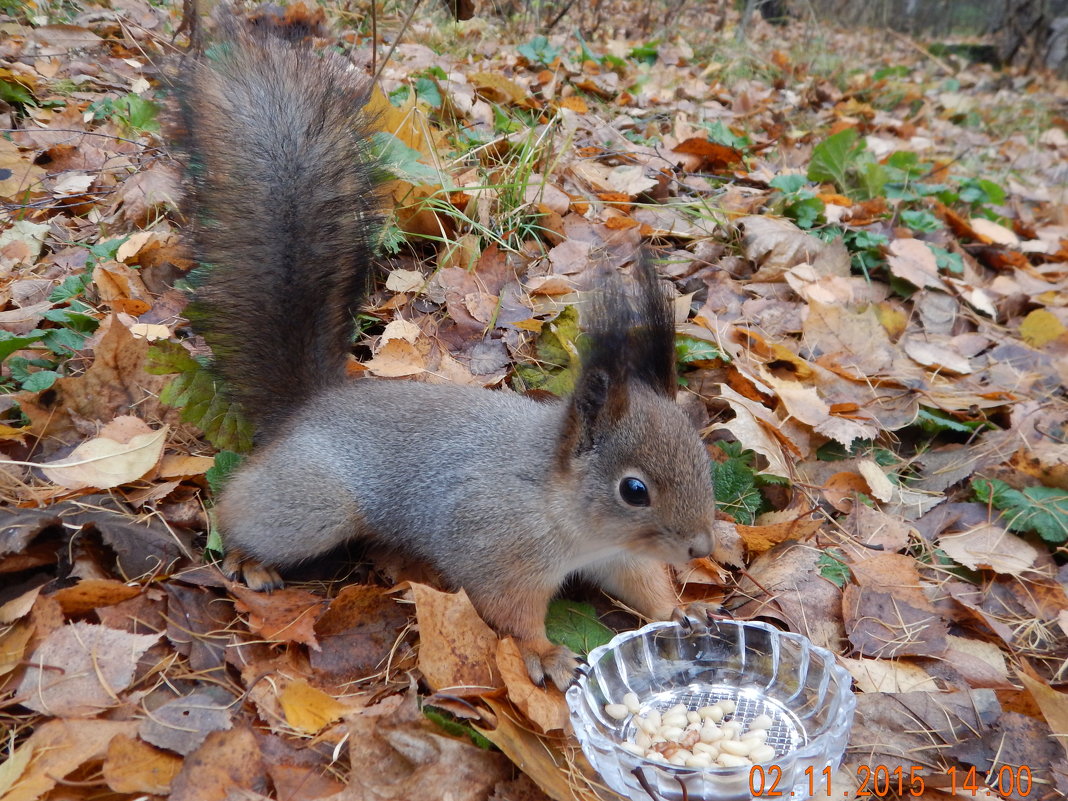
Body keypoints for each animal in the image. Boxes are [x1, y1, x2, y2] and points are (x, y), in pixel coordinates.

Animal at [177, 15, 717, 692]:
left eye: (702, 456)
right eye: (634, 490)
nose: (701, 549)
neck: (556, 498)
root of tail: (310, 406)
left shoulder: (619, 556)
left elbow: (643, 584)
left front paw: (684, 610)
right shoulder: (497, 548)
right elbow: (511, 611)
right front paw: (545, 653)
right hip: (312, 504)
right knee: (240, 511)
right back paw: (251, 561)